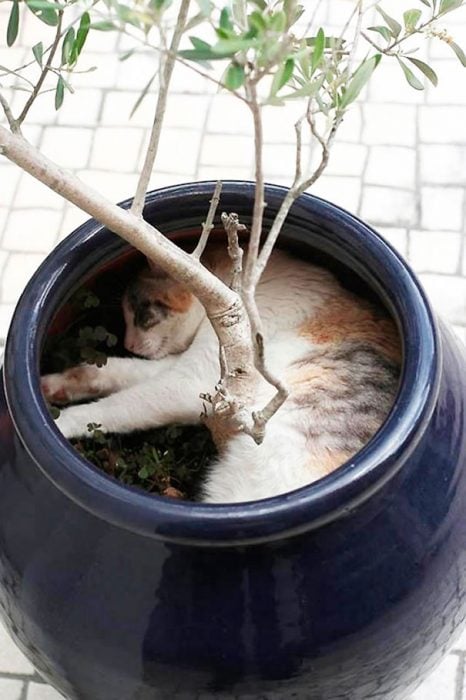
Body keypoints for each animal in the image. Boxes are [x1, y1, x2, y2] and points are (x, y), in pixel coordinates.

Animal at [41, 246, 400, 504]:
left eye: (144, 314)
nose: (129, 343)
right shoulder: (185, 368)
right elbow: (112, 371)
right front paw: (54, 387)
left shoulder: (192, 384)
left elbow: (115, 407)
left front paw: (61, 425)